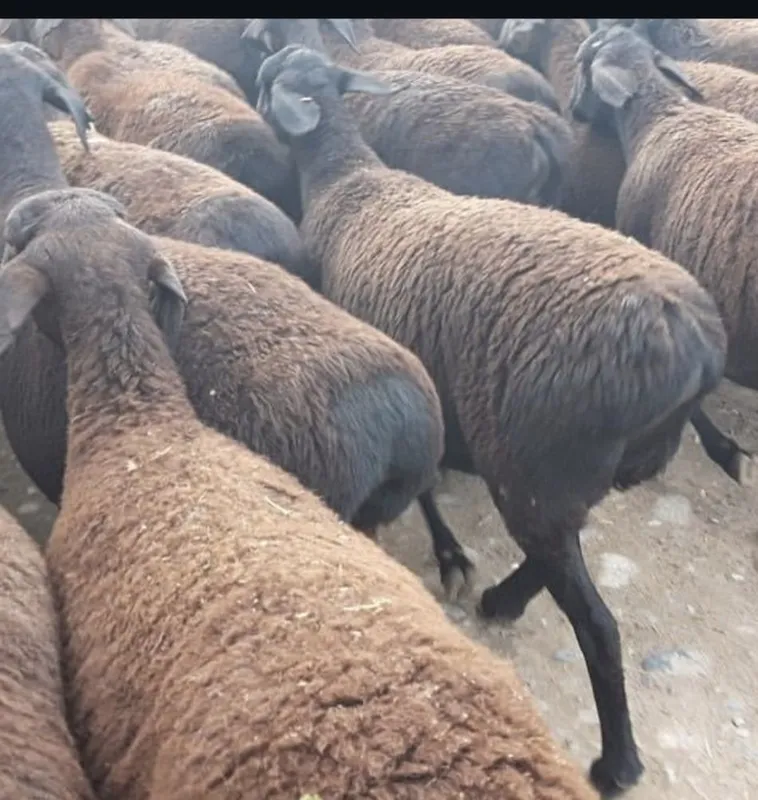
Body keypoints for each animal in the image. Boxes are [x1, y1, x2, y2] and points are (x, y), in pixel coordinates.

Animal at [254, 43, 728, 795]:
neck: (348, 179)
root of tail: (694, 340)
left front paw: (449, 552)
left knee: (596, 622)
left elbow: (423, 483)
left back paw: (617, 761)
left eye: (269, 78)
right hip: (565, 464)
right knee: (560, 542)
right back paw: (506, 598)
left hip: (536, 455)